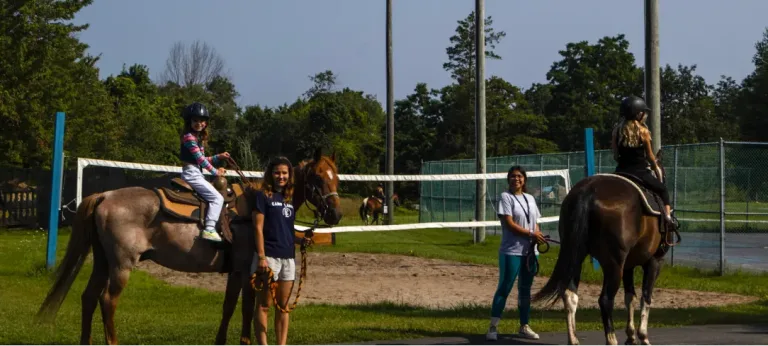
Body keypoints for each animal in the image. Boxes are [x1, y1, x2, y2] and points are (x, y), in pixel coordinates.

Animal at [35, 149, 342, 346]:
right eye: (317, 178)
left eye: (336, 177)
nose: (336, 215)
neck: (256, 207)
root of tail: (105, 196)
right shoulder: (247, 271)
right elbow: (245, 309)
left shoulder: (235, 272)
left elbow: (228, 307)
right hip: (121, 265)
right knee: (107, 301)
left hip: (102, 261)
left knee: (88, 297)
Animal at [532, 150, 680, 346]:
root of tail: (587, 192)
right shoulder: (654, 261)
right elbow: (645, 297)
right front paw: (643, 336)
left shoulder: (628, 265)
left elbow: (630, 297)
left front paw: (631, 336)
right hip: (613, 264)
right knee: (605, 300)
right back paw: (611, 340)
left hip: (576, 257)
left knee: (570, 295)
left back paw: (574, 340)